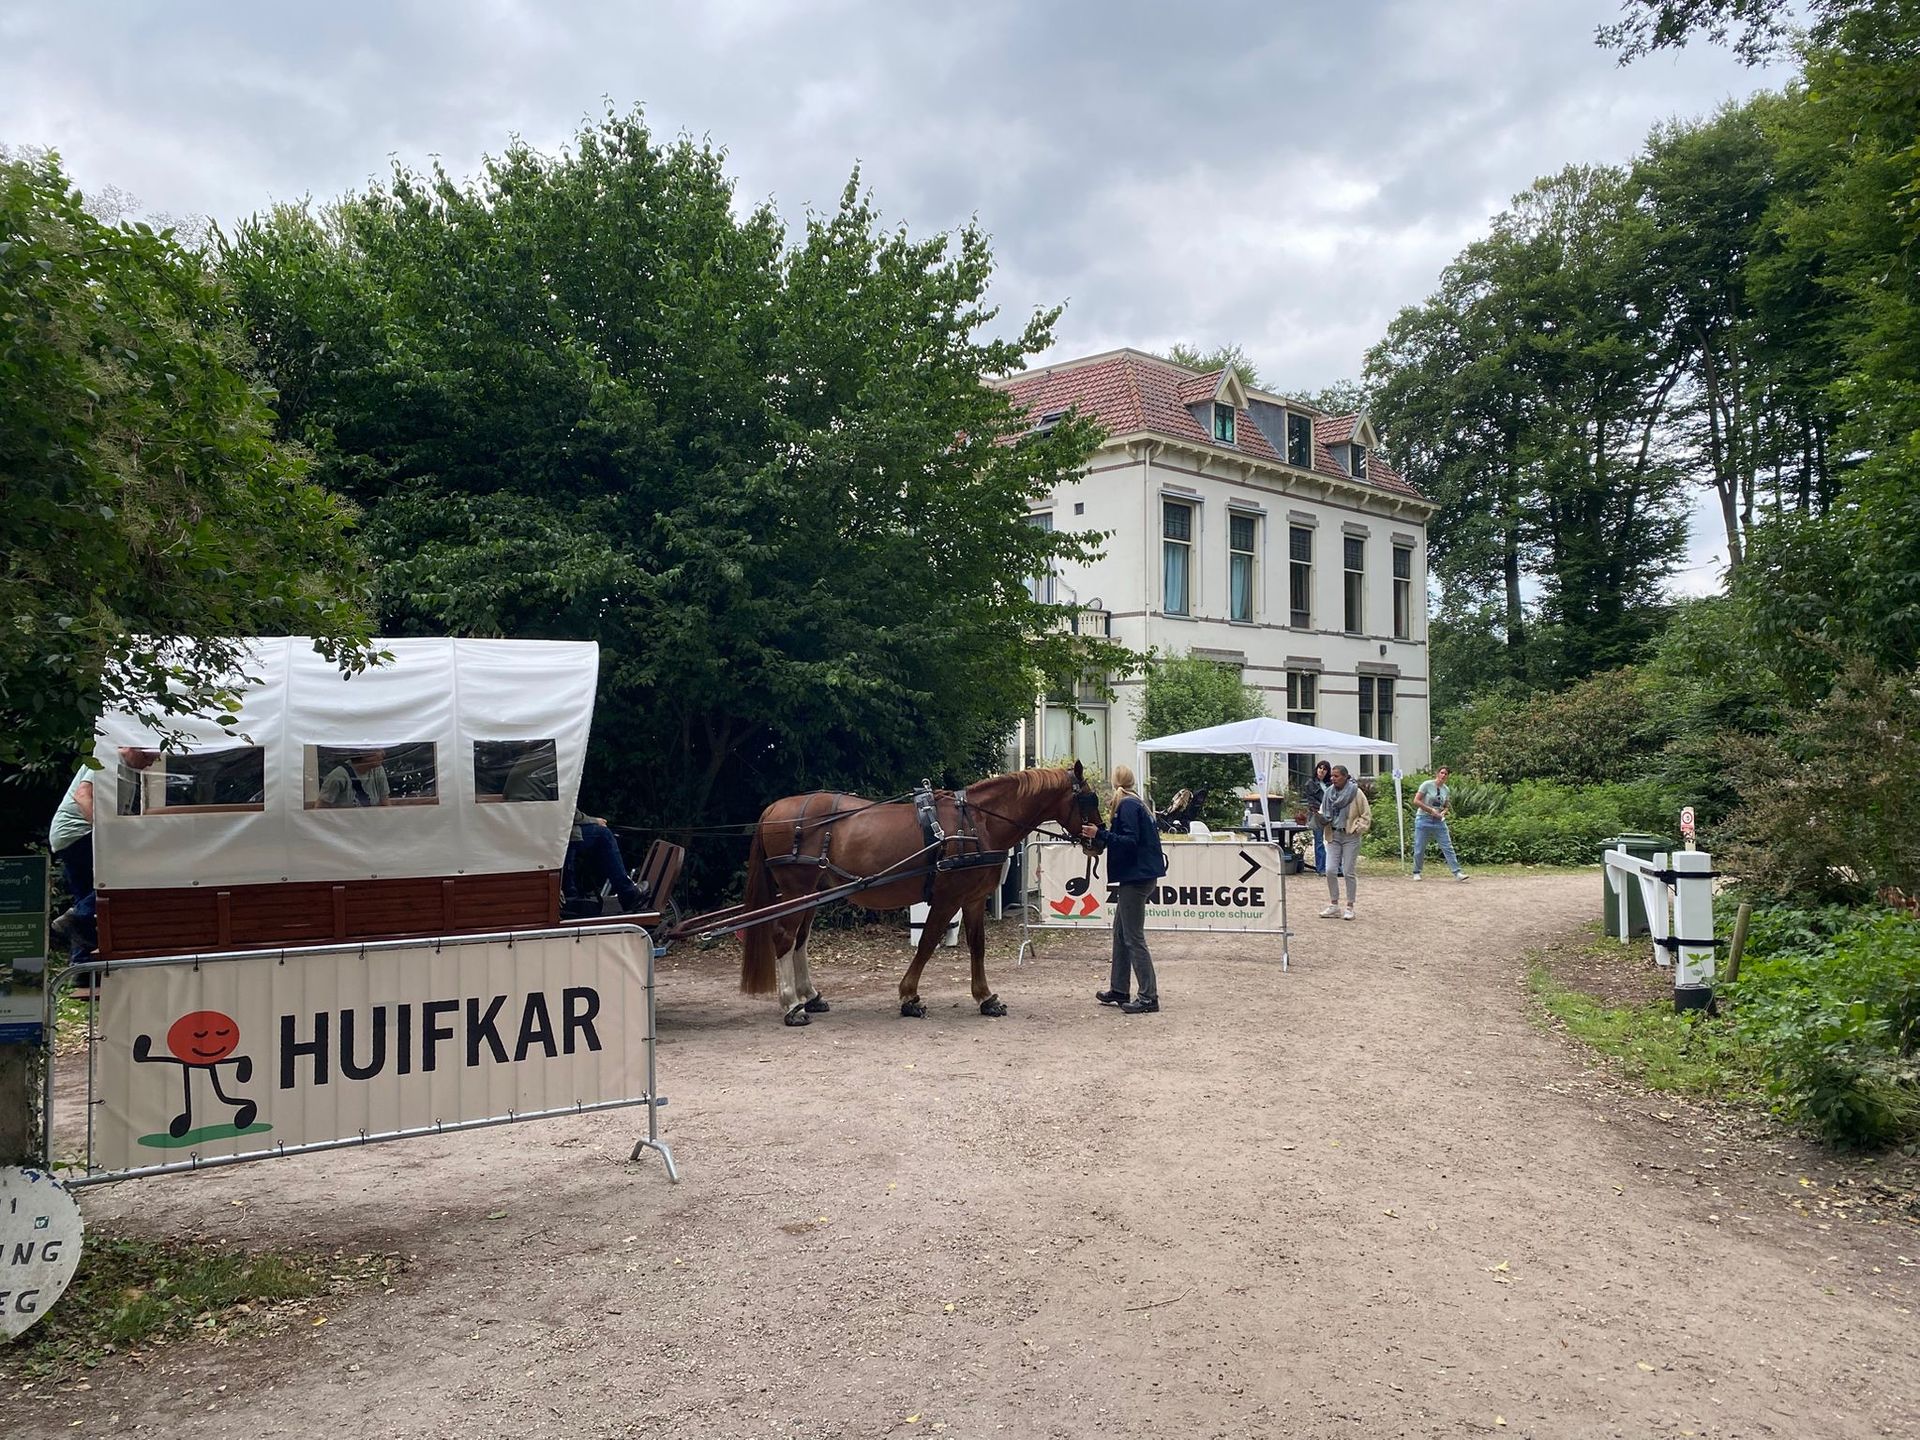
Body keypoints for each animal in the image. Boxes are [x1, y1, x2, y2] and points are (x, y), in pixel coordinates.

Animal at [738, 762, 1104, 1026]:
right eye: (1089, 799)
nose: (1100, 839)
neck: (977, 822)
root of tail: (772, 811)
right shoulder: (947, 898)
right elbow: (927, 943)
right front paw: (909, 997)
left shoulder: (972, 900)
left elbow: (978, 946)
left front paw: (985, 997)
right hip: (796, 890)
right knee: (785, 937)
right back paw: (792, 1005)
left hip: (811, 894)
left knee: (800, 940)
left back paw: (810, 996)